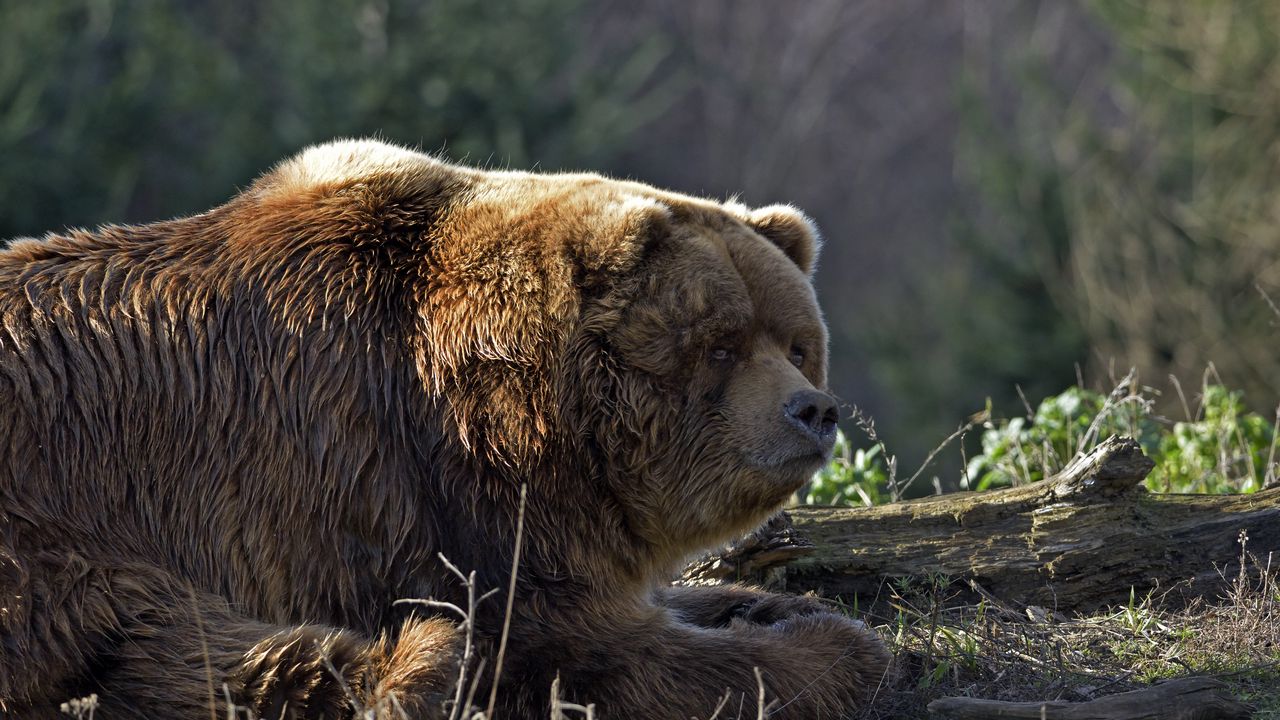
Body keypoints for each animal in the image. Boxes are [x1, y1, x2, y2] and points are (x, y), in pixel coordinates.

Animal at [0, 137, 890, 712]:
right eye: (721, 344)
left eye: (797, 343)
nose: (811, 410)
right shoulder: (435, 494)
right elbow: (585, 647)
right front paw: (834, 649)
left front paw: (759, 603)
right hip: (58, 521)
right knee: (166, 634)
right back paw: (418, 662)